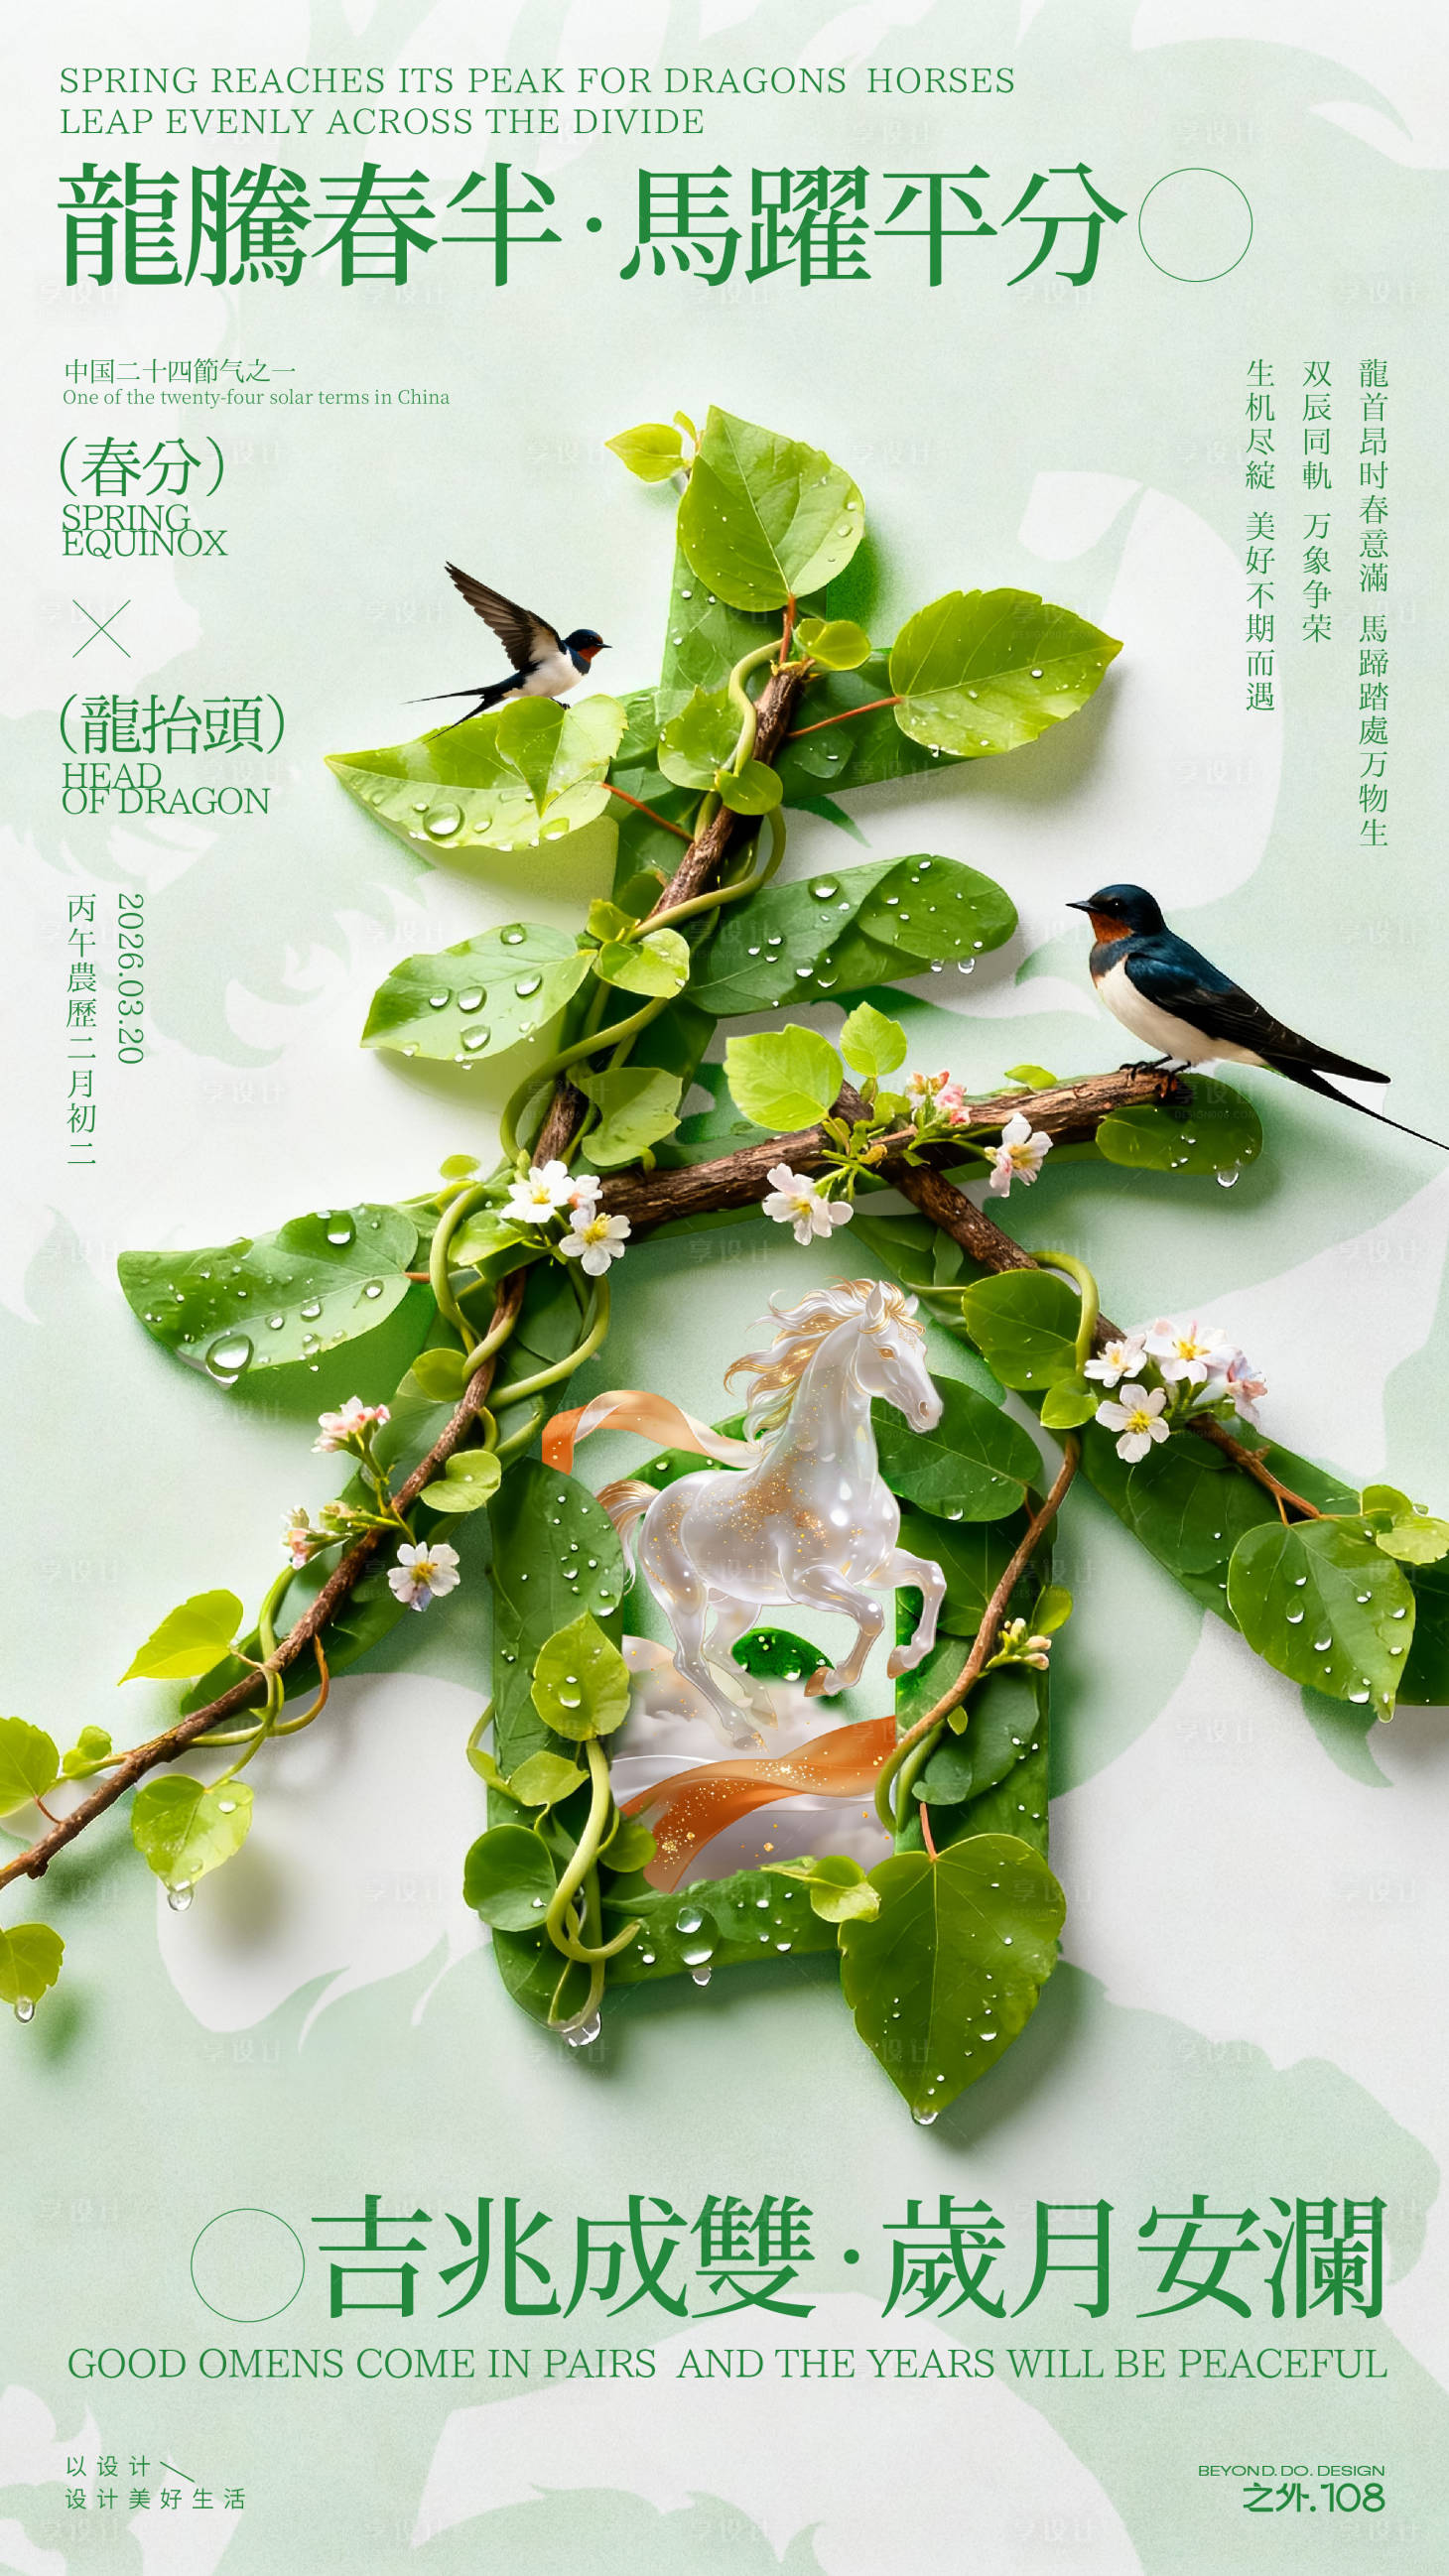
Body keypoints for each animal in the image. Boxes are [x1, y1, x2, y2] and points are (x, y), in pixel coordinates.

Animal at [592, 1280, 946, 1749]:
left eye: (922, 1350)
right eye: (887, 1351)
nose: (930, 1412)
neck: (840, 1484)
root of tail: (655, 1501)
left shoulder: (875, 1568)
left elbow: (932, 1577)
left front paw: (904, 1659)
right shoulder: (809, 1581)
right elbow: (873, 1614)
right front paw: (827, 1681)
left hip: (740, 1603)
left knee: (715, 1649)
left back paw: (764, 1707)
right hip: (684, 1599)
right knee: (690, 1661)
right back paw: (744, 1732)